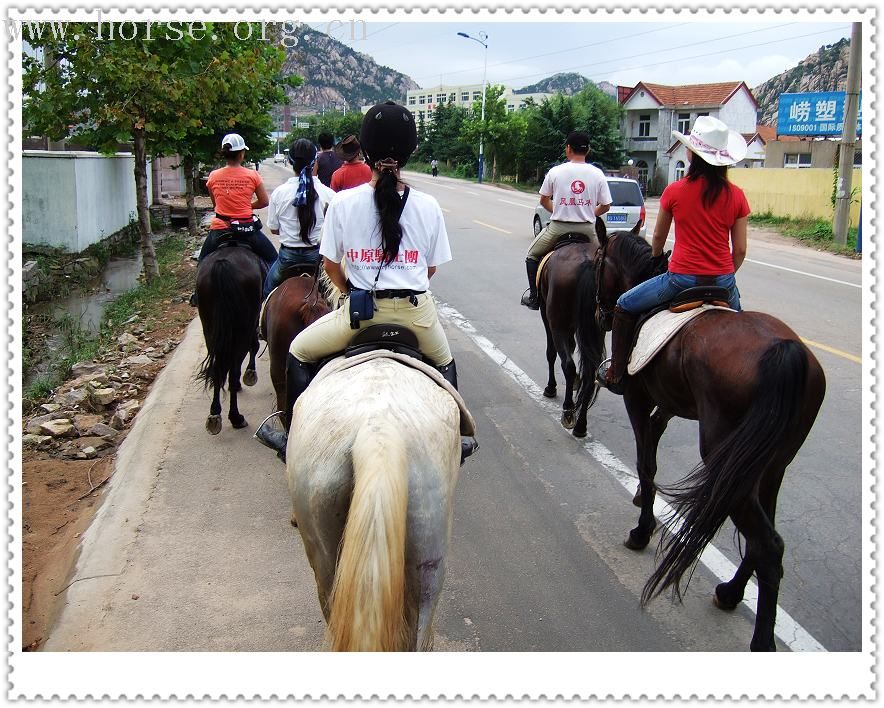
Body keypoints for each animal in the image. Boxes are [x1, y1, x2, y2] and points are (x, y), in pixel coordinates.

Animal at [195, 246, 260, 434]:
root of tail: (222, 265)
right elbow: (254, 345)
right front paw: (250, 373)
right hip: (242, 327)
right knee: (233, 368)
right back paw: (236, 416)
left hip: (209, 327)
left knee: (219, 368)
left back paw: (215, 414)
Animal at [592, 221, 828, 652]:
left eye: (598, 261)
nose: (602, 313)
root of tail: (786, 351)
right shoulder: (668, 404)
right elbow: (653, 443)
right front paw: (642, 502)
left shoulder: (637, 397)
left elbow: (646, 462)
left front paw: (642, 529)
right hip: (770, 463)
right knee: (766, 531)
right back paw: (732, 592)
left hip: (726, 455)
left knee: (768, 543)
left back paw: (761, 639)